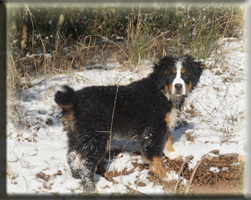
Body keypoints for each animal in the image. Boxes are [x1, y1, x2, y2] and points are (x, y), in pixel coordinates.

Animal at [54, 54, 203, 192]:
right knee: (86, 164)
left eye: (186, 74)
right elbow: (154, 156)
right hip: (95, 136)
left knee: (73, 156)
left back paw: (77, 176)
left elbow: (167, 139)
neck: (162, 93)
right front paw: (165, 176)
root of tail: (74, 99)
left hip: (76, 134)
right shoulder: (153, 129)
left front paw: (172, 154)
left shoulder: (161, 124)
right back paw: (92, 189)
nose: (178, 86)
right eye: (171, 74)